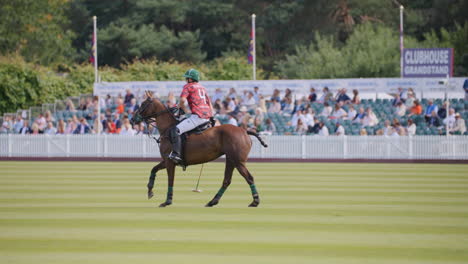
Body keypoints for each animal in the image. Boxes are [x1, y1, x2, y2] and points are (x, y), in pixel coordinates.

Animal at [131, 92, 266, 207]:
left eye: (142, 104)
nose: (132, 120)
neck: (167, 128)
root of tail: (245, 131)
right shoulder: (166, 160)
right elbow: (153, 169)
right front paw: (150, 191)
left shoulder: (170, 161)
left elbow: (170, 180)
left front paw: (167, 201)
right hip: (231, 159)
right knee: (227, 180)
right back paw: (213, 201)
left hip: (238, 161)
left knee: (249, 177)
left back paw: (255, 201)